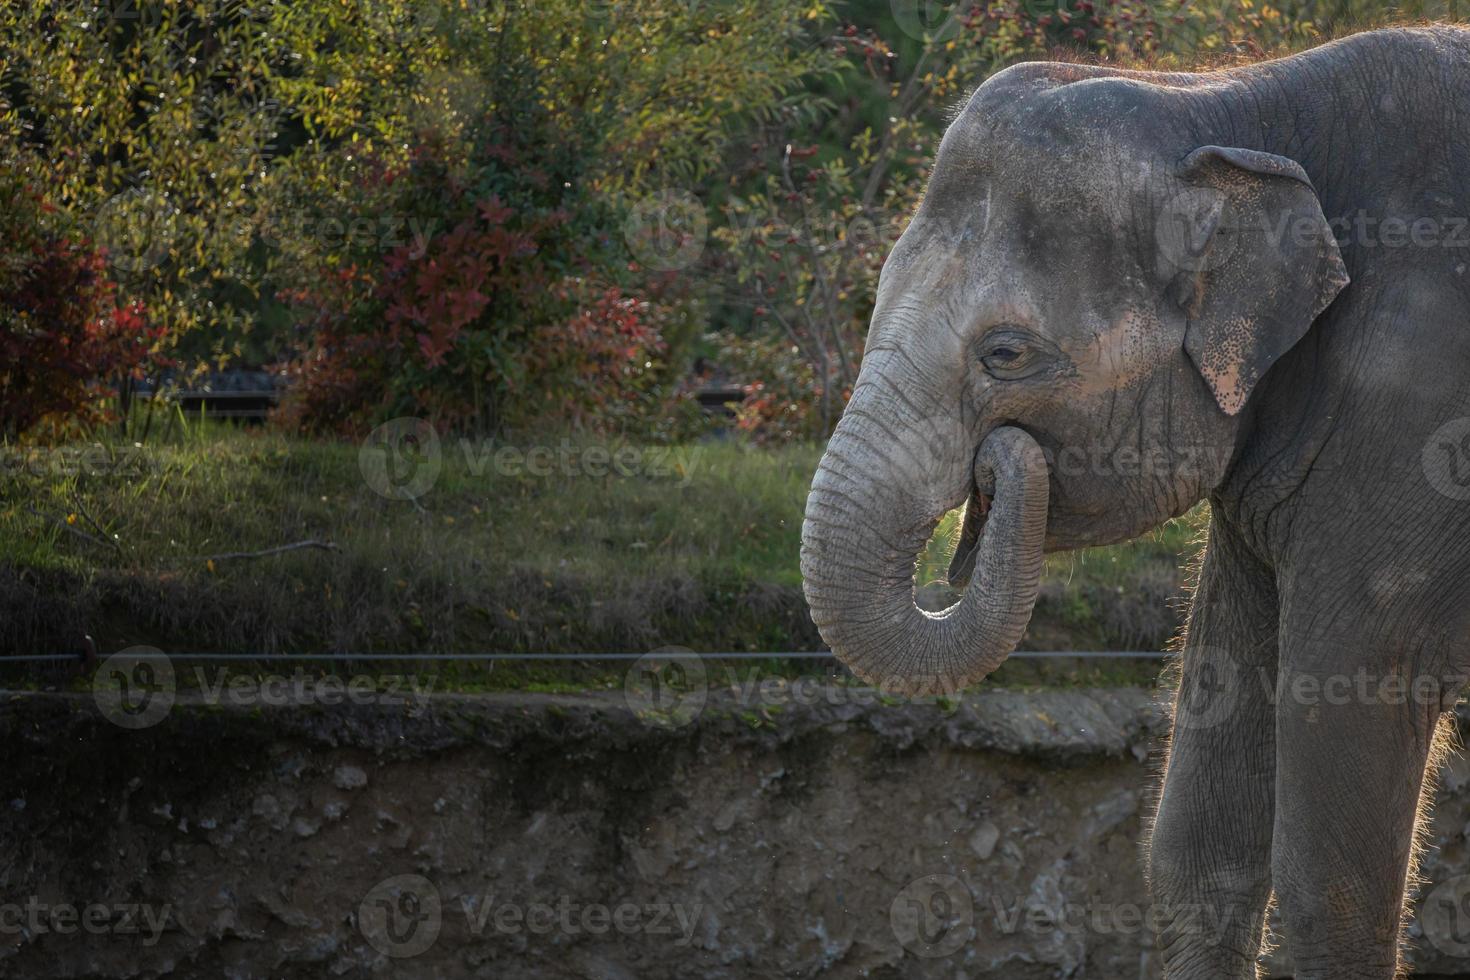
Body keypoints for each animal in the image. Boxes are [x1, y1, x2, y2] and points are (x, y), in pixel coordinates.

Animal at [799, 22, 1470, 980]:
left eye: (1006, 353)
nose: (1001, 464)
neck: (1233, 102)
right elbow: (1199, 827)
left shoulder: (1417, 419)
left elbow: (1337, 816)